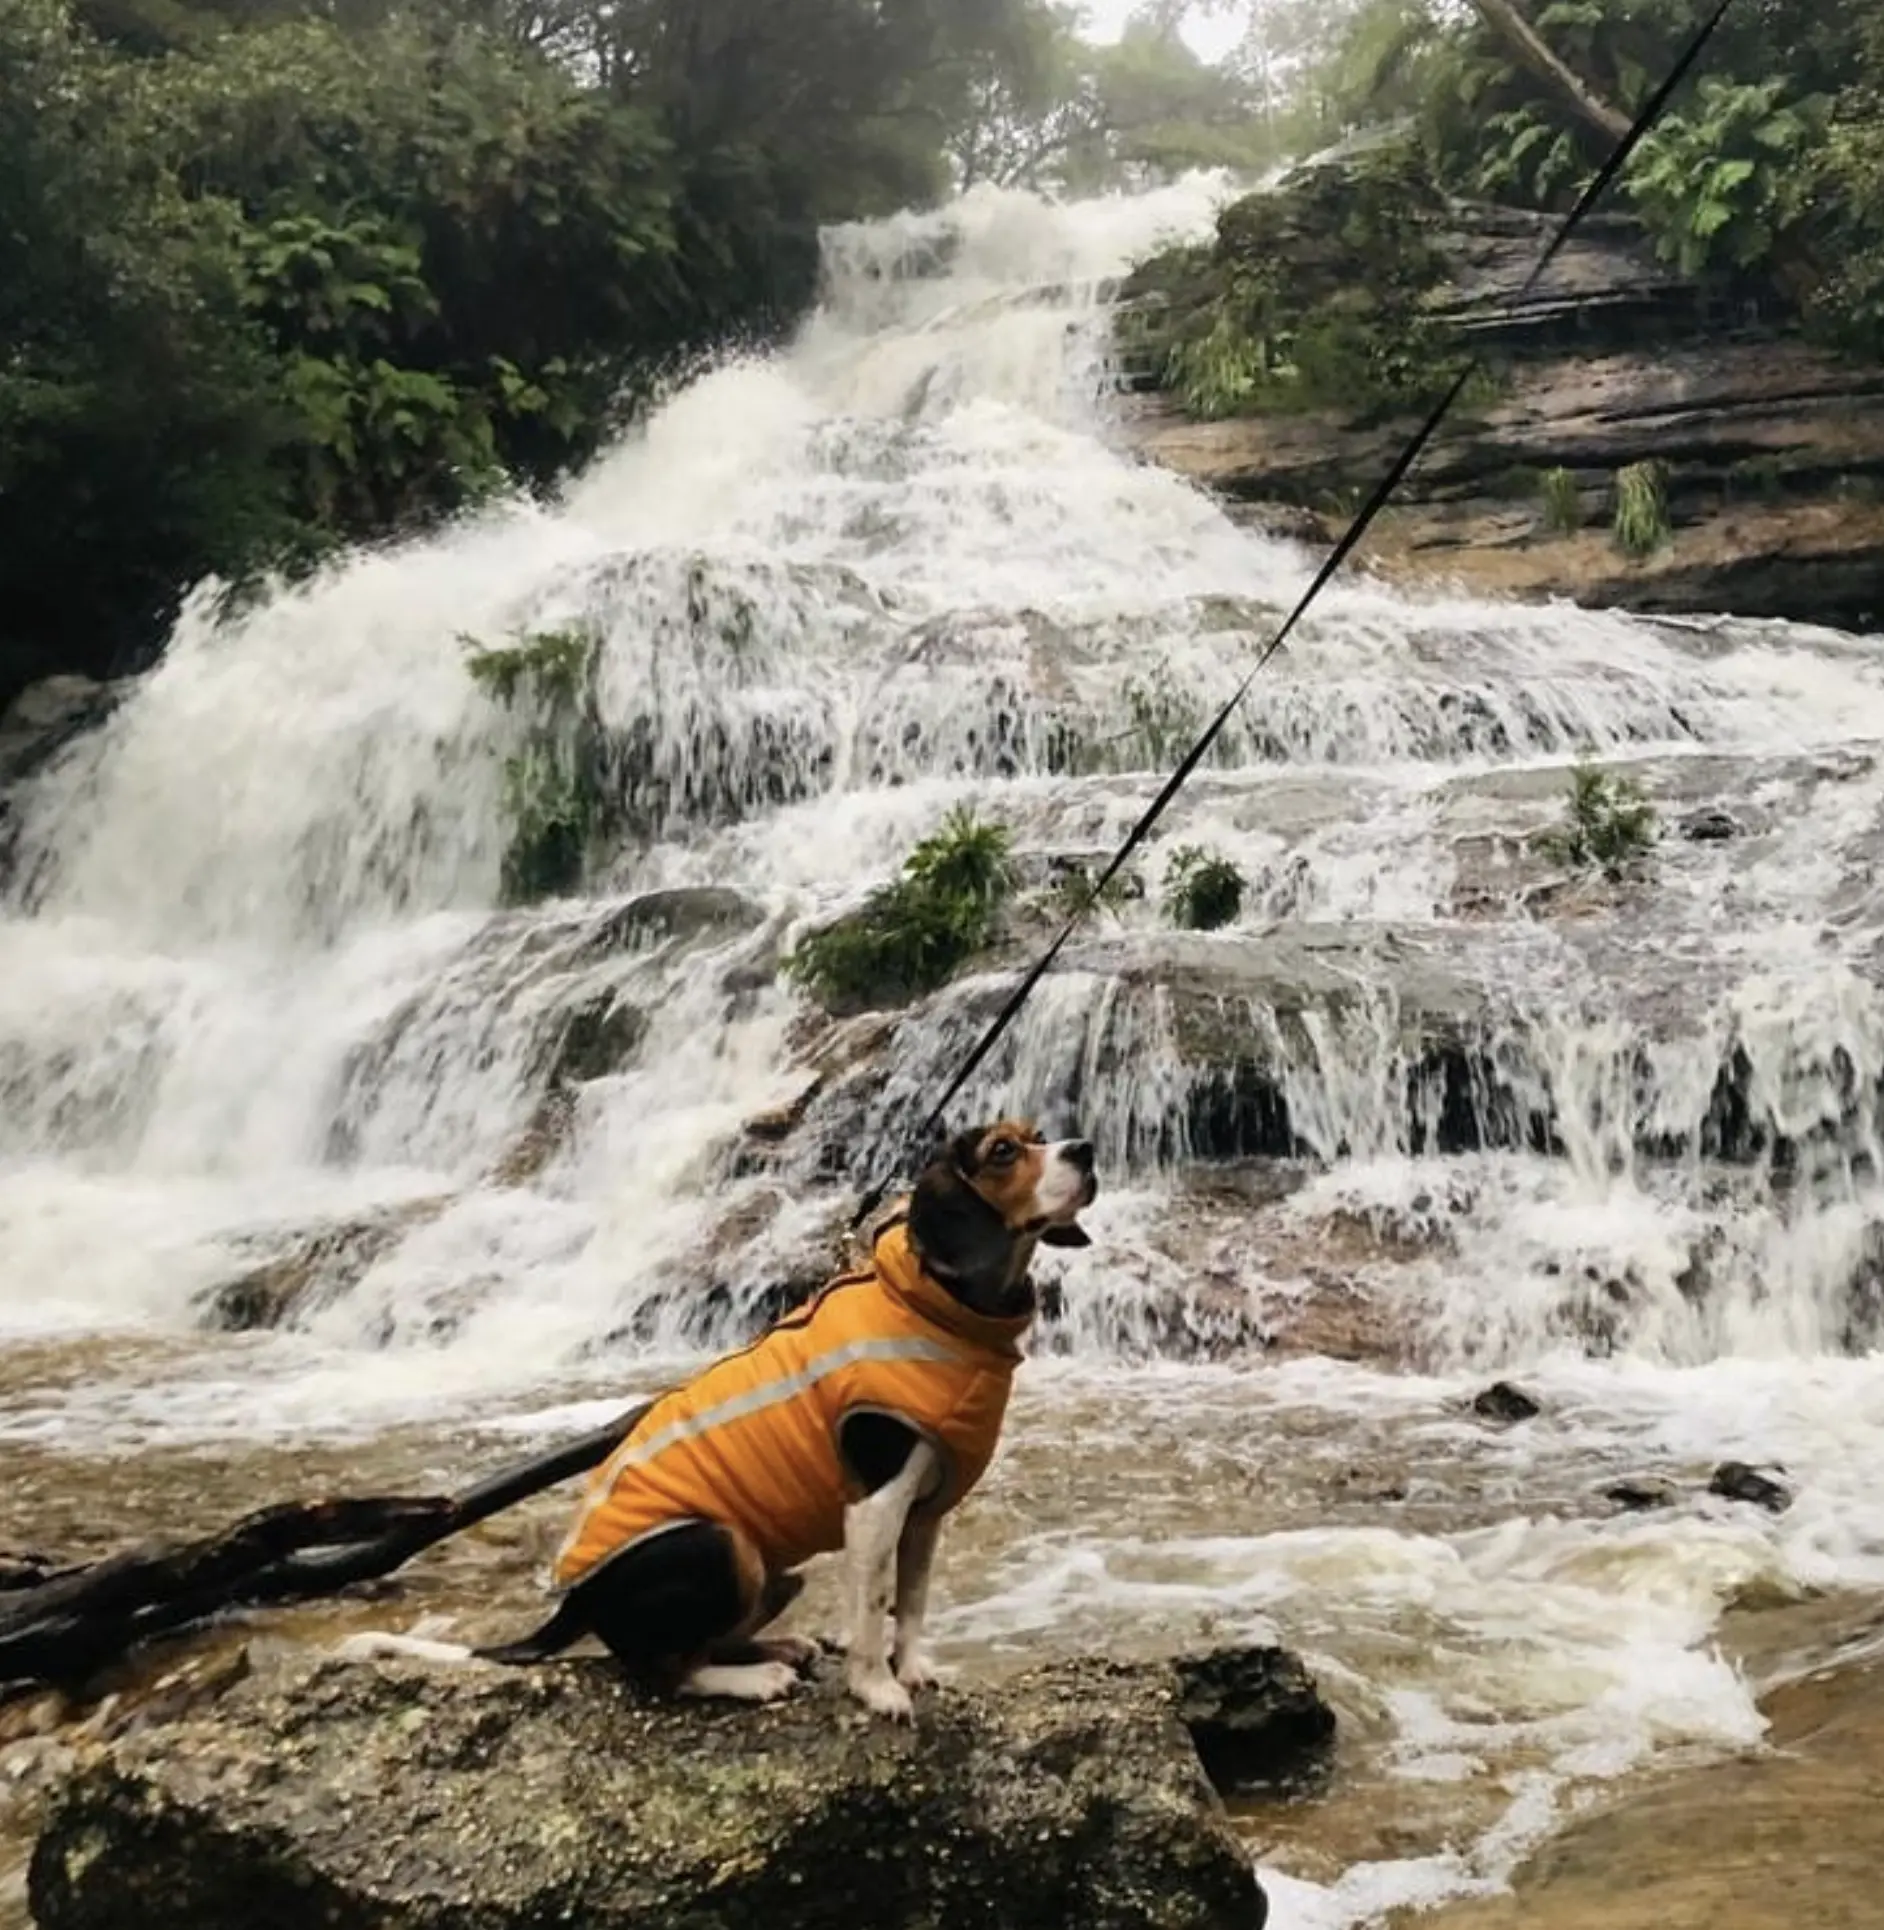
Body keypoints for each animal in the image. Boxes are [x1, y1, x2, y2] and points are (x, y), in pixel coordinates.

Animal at [341, 1127, 1088, 1729]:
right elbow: (873, 1606)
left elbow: (911, 1600)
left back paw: (779, 1647)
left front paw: (913, 1668)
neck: (938, 1306)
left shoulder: (925, 1512)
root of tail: (578, 1601)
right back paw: (752, 1678)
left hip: (774, 1571)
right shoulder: (874, 1506)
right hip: (726, 1547)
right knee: (658, 1673)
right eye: (1002, 1151)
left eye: (1038, 1135)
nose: (1084, 1149)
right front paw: (877, 1690)